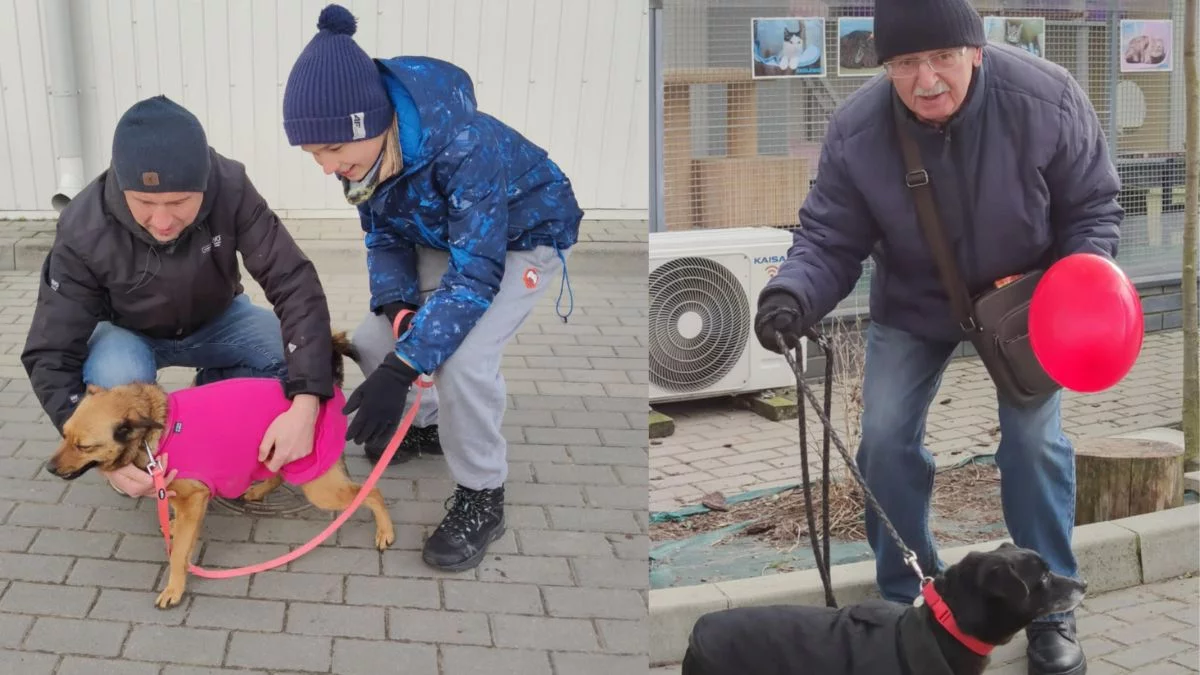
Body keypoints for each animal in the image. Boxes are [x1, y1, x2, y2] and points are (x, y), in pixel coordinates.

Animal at [44, 329, 396, 607]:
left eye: (83, 446)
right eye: (64, 434)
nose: (48, 468)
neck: (161, 431)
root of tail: (329, 388)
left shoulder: (194, 498)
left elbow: (178, 553)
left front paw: (174, 587)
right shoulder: (179, 495)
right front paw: (172, 526)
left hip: (319, 485)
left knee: (372, 492)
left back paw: (385, 531)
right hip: (279, 452)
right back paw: (257, 490)